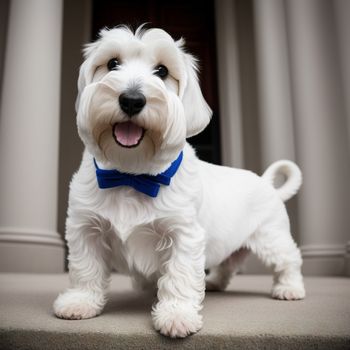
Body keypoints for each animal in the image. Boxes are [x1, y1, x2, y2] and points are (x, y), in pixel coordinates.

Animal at [53, 26, 304, 338]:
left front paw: (176, 314)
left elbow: (180, 275)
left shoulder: (184, 235)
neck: (131, 175)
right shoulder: (85, 228)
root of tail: (266, 182)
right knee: (229, 264)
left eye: (162, 71)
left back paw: (290, 287)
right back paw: (215, 282)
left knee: (289, 259)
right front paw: (81, 301)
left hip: (272, 238)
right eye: (112, 63)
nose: (132, 99)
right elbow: (85, 269)